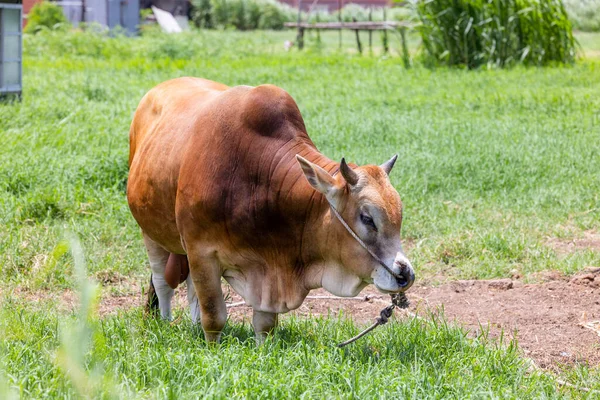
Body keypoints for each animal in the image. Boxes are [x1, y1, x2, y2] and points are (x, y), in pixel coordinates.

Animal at [128, 79, 414, 344]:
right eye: (367, 218)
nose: (405, 275)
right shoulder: (201, 251)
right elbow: (214, 315)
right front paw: (212, 348)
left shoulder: (267, 275)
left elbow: (264, 324)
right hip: (151, 232)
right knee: (163, 282)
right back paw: (166, 322)